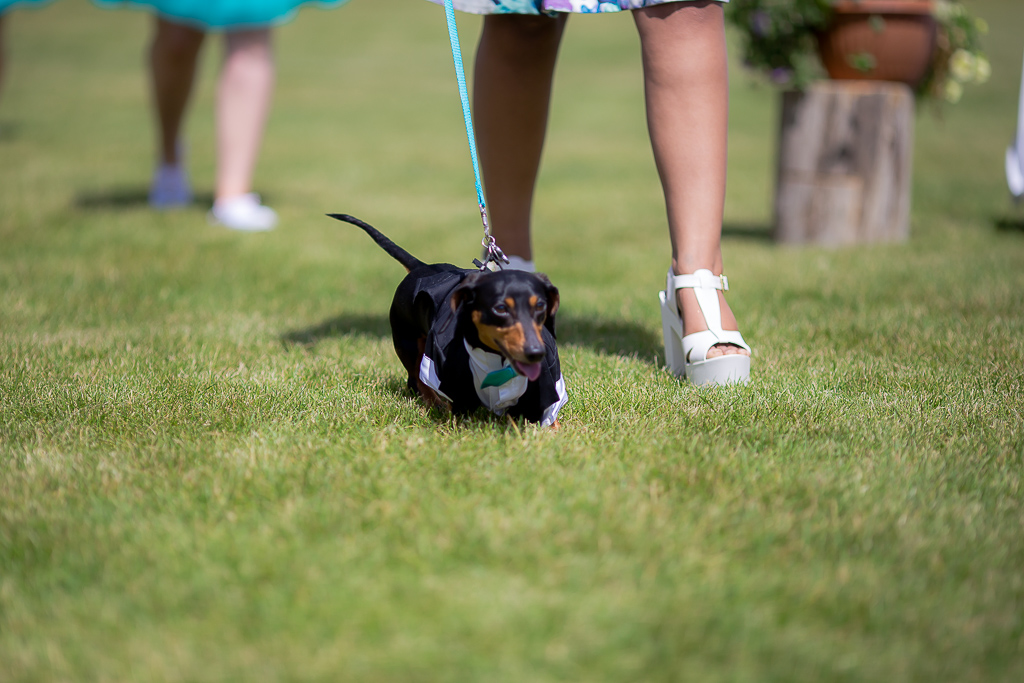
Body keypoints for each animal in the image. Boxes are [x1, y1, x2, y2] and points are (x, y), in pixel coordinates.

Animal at [329, 214, 565, 428]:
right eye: (500, 309)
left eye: (540, 306)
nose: (535, 352)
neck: (497, 360)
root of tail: (420, 267)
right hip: (408, 344)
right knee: (416, 380)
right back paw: (434, 403)